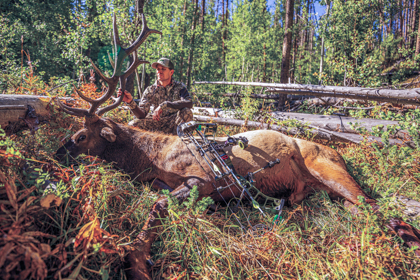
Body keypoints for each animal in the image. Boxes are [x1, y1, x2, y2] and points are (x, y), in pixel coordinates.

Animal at [55, 11, 420, 280]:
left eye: (81, 136)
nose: (58, 151)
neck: (150, 159)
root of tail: (339, 153)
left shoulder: (202, 179)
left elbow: (158, 206)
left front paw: (137, 262)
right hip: (328, 193)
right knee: (364, 211)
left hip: (328, 168)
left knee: (378, 206)